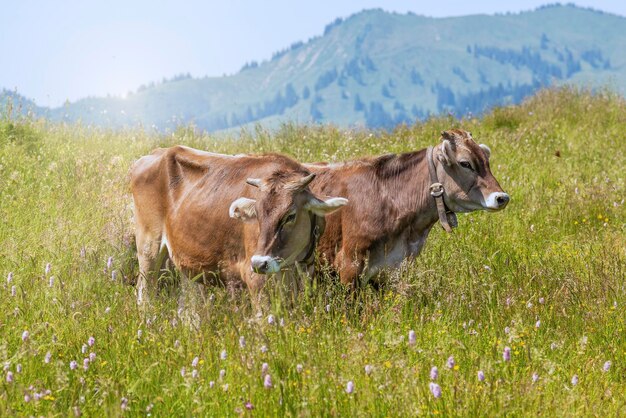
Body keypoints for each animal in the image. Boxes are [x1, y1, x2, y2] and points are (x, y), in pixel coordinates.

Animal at [130, 145, 348, 306]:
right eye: (257, 214)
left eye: (290, 215)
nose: (260, 263)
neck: (292, 264)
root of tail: (156, 152)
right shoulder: (255, 279)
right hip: (149, 247)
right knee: (144, 293)